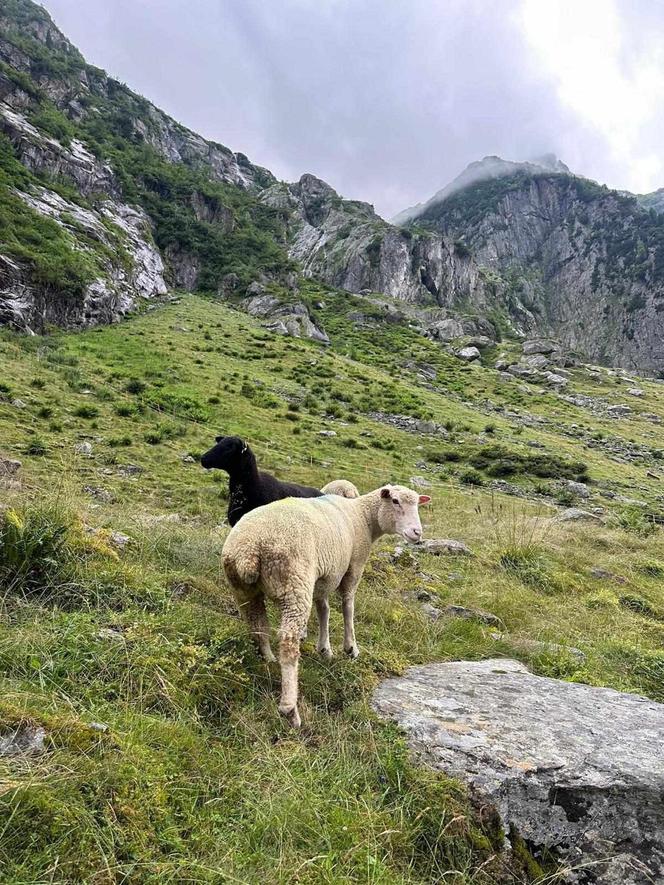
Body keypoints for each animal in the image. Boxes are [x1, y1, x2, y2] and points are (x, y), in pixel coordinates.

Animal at [223, 484, 430, 724]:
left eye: (418, 504)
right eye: (395, 501)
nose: (417, 533)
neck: (363, 517)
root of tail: (249, 550)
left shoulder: (323, 576)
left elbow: (324, 609)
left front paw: (325, 648)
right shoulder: (352, 567)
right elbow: (347, 606)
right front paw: (350, 648)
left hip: (244, 590)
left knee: (258, 627)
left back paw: (269, 660)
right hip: (295, 582)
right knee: (288, 642)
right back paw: (290, 709)